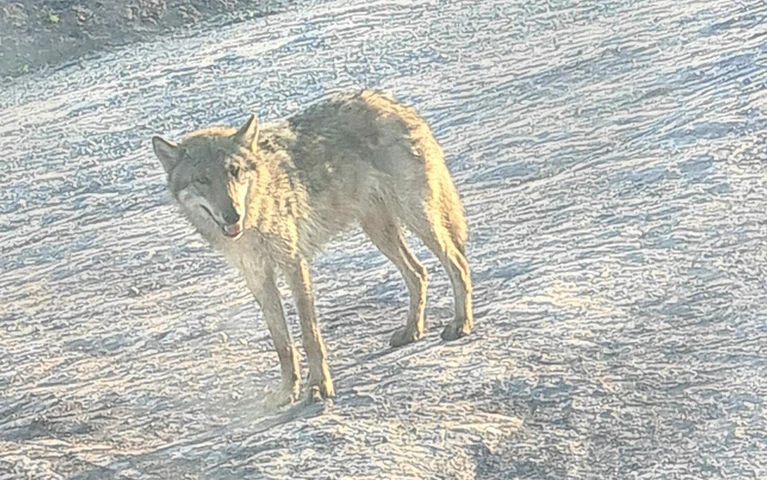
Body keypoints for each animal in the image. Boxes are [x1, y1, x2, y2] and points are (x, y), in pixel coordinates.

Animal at [152, 90, 473, 405]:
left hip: (416, 218)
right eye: (202, 180)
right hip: (379, 231)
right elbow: (282, 344)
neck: (256, 218)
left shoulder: (294, 264)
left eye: (235, 171)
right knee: (419, 273)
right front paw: (287, 391)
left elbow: (309, 336)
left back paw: (460, 325)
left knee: (457, 263)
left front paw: (319, 386)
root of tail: (392, 102)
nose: (232, 215)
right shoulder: (258, 278)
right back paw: (411, 331)